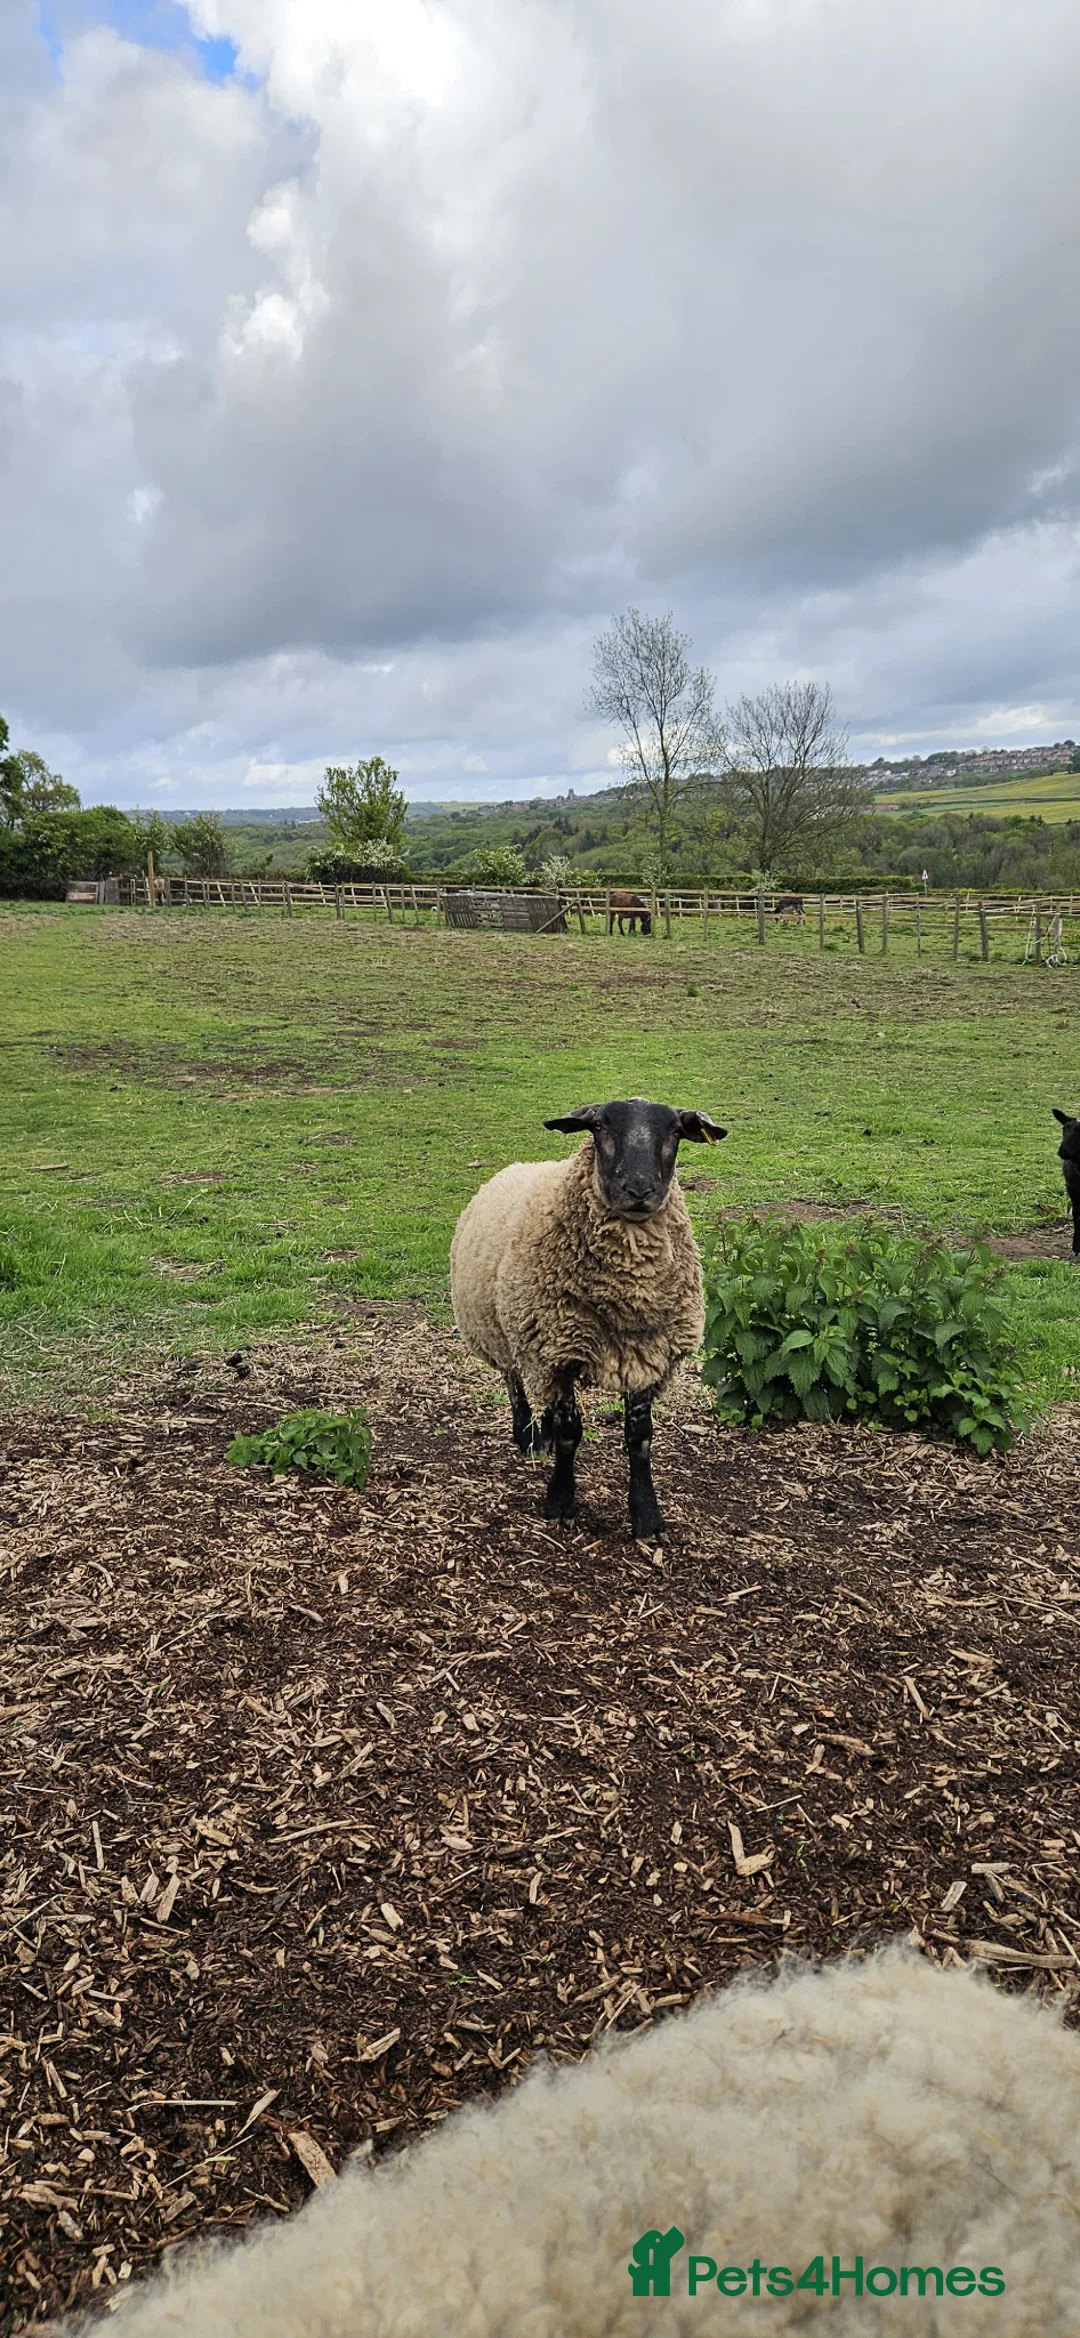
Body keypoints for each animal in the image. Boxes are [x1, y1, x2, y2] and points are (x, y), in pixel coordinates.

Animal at [449, 1097, 725, 1542]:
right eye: (598, 1127)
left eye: (676, 1131)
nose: (638, 1189)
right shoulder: (556, 1352)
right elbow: (569, 1434)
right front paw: (560, 1502)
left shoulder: (644, 1355)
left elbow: (639, 1438)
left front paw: (647, 1518)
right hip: (503, 1329)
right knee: (514, 1381)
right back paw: (526, 1436)